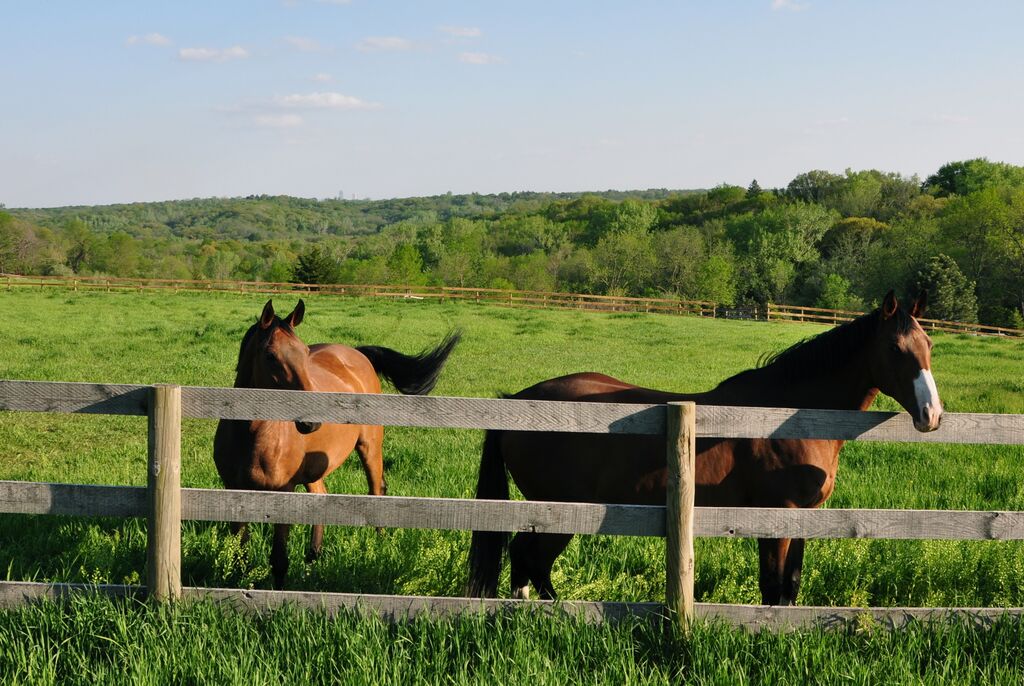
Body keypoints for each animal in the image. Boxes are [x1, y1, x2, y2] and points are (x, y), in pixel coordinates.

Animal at [214, 301, 458, 589]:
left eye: (304, 352)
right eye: (271, 356)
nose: (312, 421)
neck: (251, 436)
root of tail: (356, 354)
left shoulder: (284, 491)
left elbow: (279, 559)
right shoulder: (234, 491)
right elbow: (239, 554)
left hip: (369, 447)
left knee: (377, 489)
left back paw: (379, 544)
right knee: (321, 495)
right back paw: (313, 556)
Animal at [468, 290, 937, 606]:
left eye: (929, 346)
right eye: (895, 348)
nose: (931, 414)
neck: (787, 416)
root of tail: (518, 400)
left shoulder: (805, 517)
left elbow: (790, 586)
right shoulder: (776, 515)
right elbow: (773, 586)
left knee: (525, 560)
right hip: (559, 512)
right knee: (531, 560)